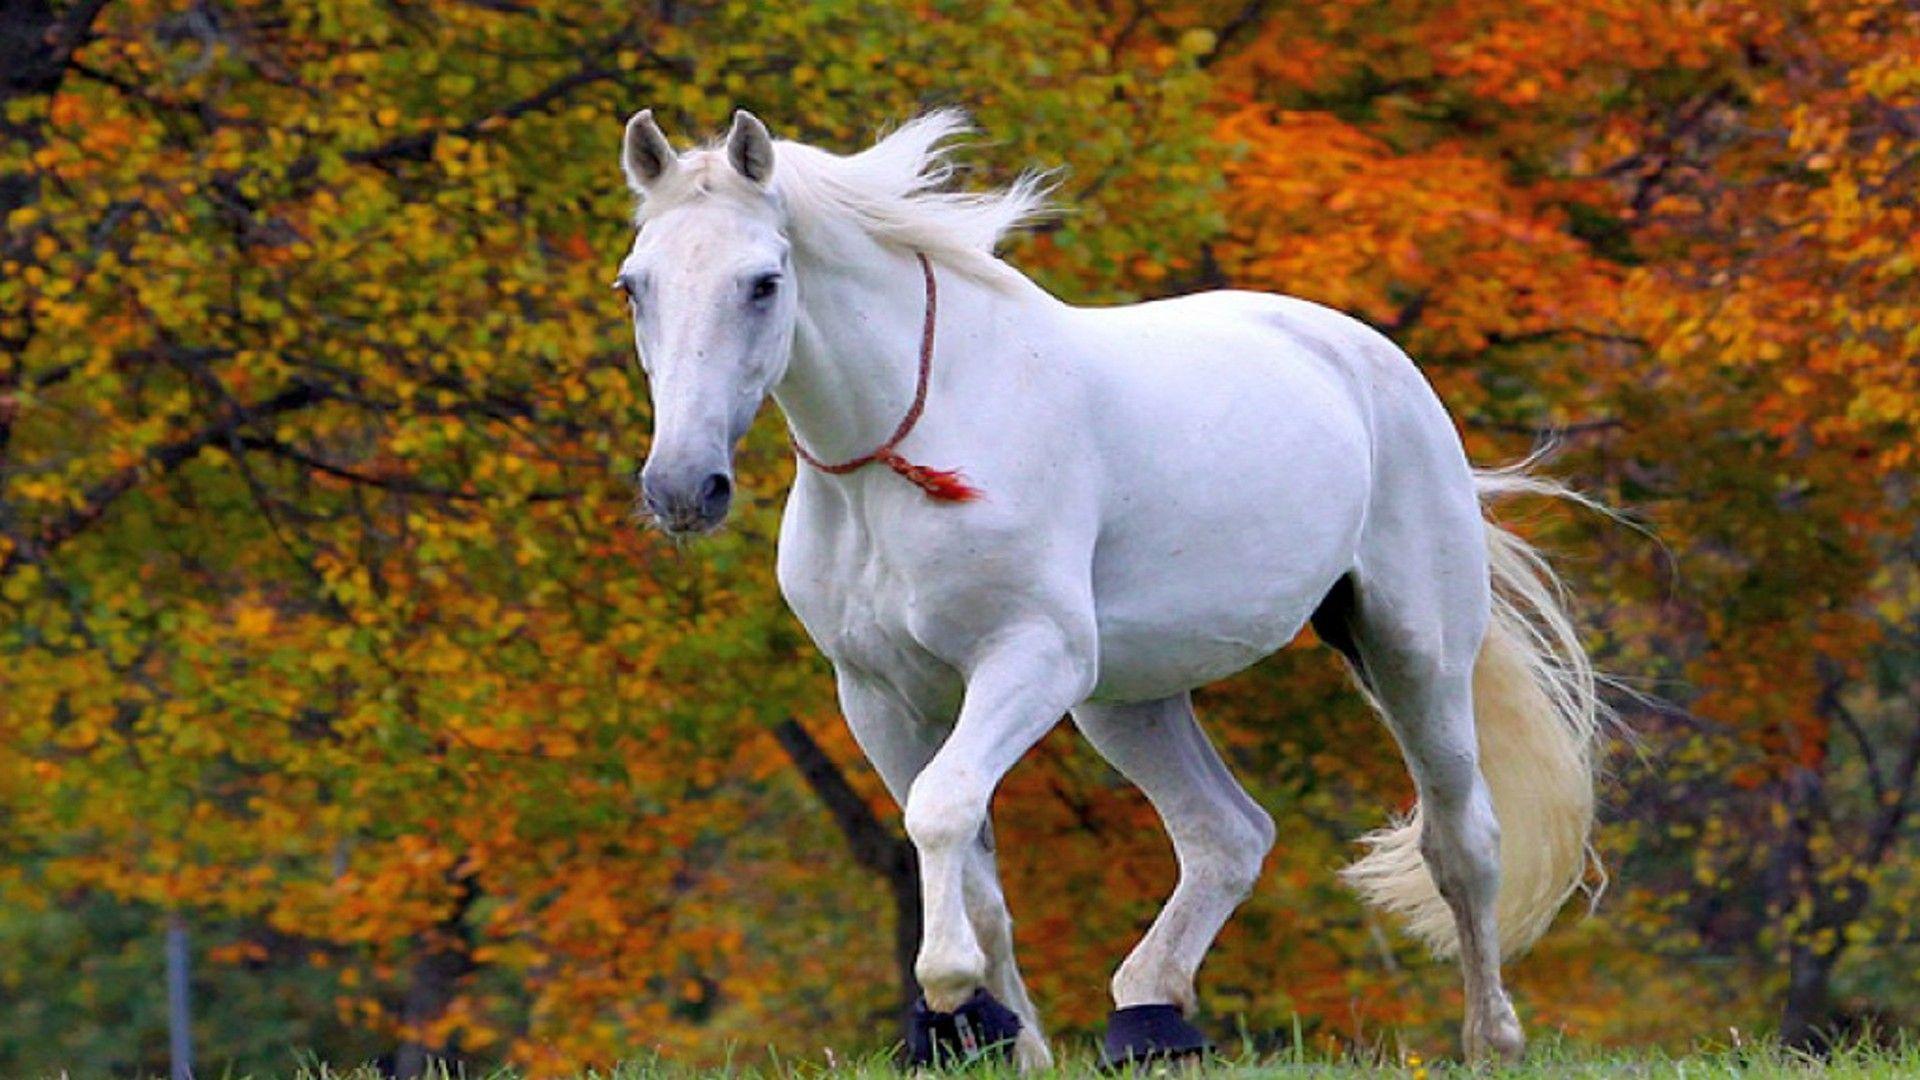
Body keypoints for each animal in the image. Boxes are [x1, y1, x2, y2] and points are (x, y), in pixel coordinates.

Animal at [612, 108, 1605, 1069]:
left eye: (763, 282)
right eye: (634, 285)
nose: (683, 488)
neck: (908, 448)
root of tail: (1370, 359)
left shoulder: (1030, 660)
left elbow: (941, 807)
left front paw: (949, 988)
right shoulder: (878, 694)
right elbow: (974, 864)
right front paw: (1008, 1041)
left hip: (1410, 655)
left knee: (1461, 839)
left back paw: (1491, 1040)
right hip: (1130, 700)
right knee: (1226, 837)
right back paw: (1148, 1020)